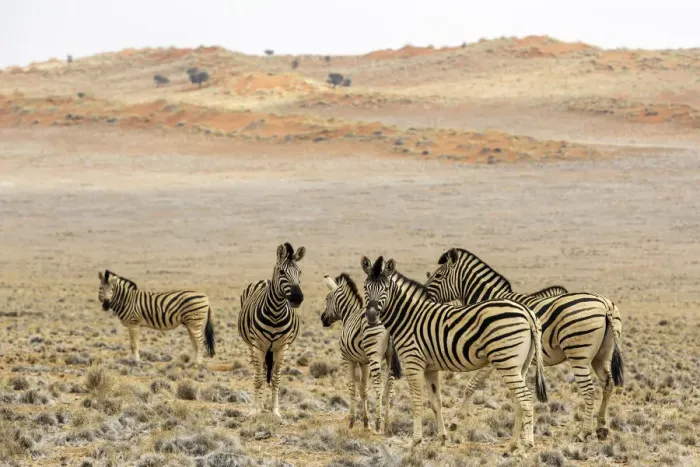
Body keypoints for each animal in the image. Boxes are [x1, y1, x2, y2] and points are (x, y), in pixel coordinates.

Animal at [238, 242, 305, 420]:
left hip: (272, 350)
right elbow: (258, 378)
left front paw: (275, 411)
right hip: (253, 347)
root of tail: (264, 280)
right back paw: (258, 406)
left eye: (299, 272)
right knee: (258, 373)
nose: (298, 297)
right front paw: (255, 410)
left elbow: (275, 379)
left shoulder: (282, 347)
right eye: (281, 272)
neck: (275, 313)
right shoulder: (258, 346)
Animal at [321, 273, 402, 434]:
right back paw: (387, 424)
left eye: (327, 298)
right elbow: (363, 389)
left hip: (375, 355)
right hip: (389, 357)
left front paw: (352, 421)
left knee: (379, 386)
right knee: (389, 386)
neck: (348, 314)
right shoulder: (364, 362)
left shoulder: (347, 359)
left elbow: (352, 388)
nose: (322, 319)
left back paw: (378, 423)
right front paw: (365, 422)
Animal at [361, 256, 548, 448]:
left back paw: (527, 444)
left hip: (506, 362)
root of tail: (527, 312)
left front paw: (415, 440)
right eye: (365, 287)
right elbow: (436, 402)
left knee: (526, 398)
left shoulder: (414, 362)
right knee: (519, 400)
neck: (408, 317)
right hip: (520, 365)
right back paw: (512, 444)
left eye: (385, 289)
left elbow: (417, 402)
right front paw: (442, 437)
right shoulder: (430, 368)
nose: (372, 316)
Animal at [424, 248, 624, 441]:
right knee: (607, 384)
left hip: (578, 354)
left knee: (589, 390)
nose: (424, 295)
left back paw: (584, 432)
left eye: (438, 276)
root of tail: (605, 304)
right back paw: (601, 427)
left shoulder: (493, 355)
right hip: (601, 355)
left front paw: (455, 422)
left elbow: (471, 385)